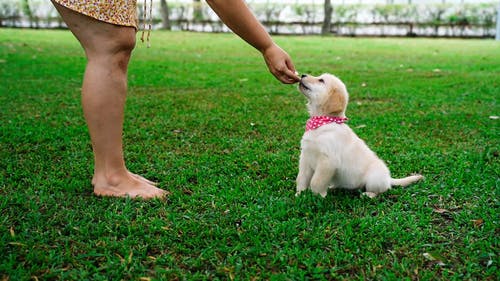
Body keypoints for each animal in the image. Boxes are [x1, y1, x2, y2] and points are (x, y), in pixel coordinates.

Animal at [294, 74, 424, 197]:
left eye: (321, 80)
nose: (303, 75)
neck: (322, 122)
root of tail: (388, 179)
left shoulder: (328, 161)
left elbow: (316, 181)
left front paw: (318, 196)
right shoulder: (305, 156)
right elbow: (302, 178)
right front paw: (299, 194)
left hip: (374, 179)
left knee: (381, 190)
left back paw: (368, 194)